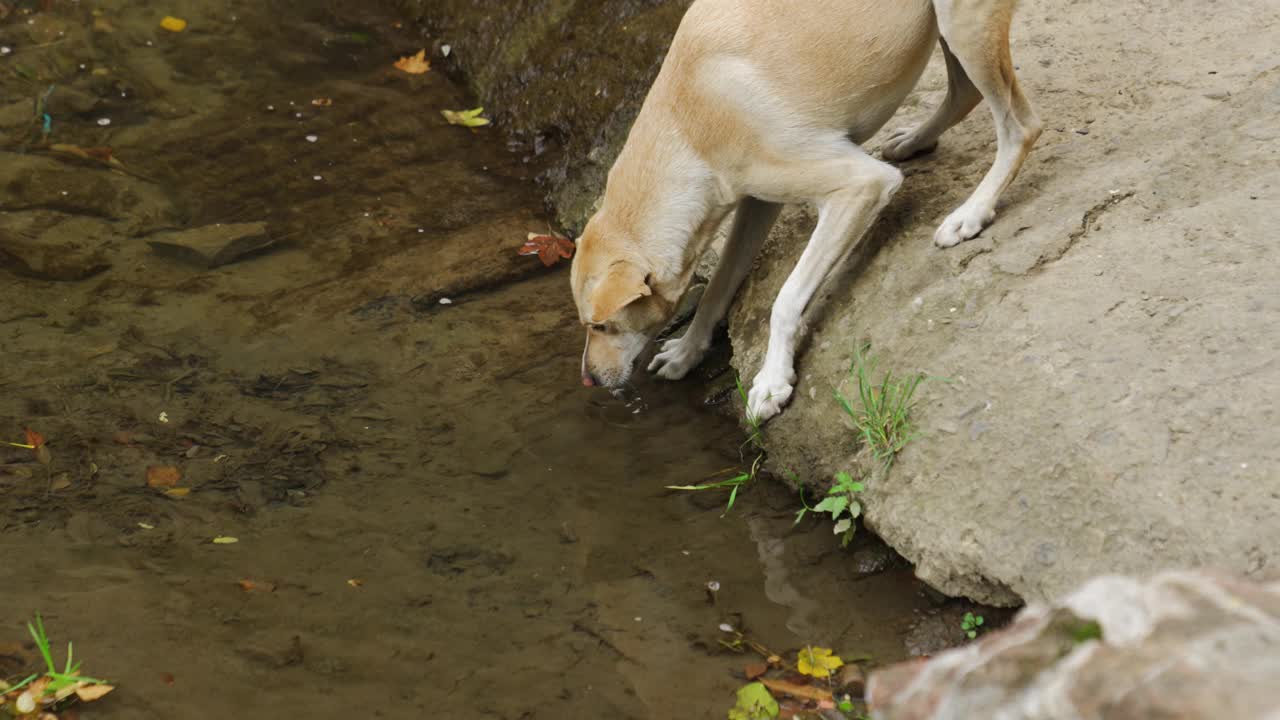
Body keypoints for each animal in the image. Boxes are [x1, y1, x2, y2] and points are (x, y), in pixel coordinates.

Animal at [570, 0, 1039, 420]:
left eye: (600, 325)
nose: (588, 380)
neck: (690, 124)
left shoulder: (861, 185)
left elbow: (786, 298)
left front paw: (772, 381)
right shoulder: (757, 203)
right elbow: (720, 284)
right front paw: (687, 350)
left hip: (965, 23)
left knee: (1020, 126)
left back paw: (972, 212)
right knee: (965, 93)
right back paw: (914, 140)